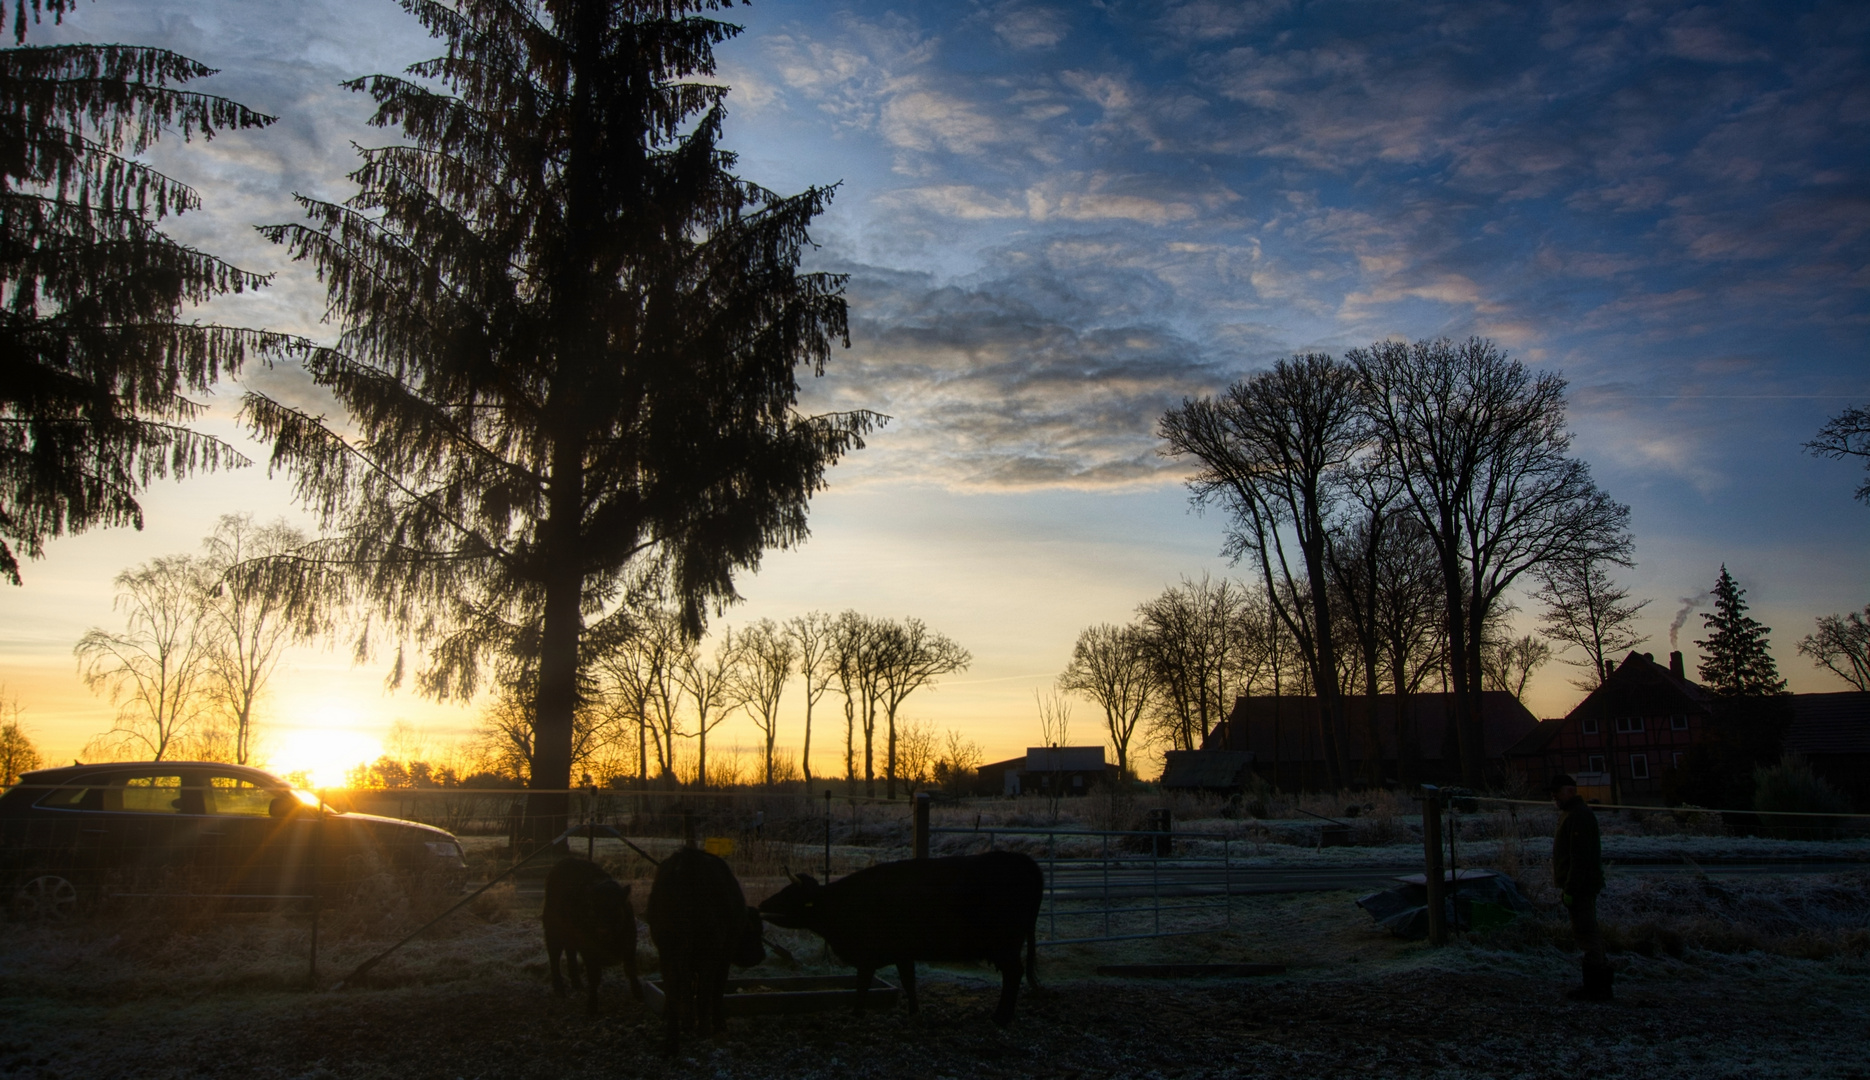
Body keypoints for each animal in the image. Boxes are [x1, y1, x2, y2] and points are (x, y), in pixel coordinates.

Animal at [542, 852, 643, 1001]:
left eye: (616, 907)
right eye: (593, 908)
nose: (602, 930)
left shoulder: (630, 943)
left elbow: (631, 970)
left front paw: (638, 993)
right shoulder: (588, 950)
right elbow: (594, 977)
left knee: (570, 952)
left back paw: (577, 984)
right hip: (553, 930)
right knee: (554, 957)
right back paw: (560, 989)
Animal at [643, 844, 759, 1046]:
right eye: (755, 932)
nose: (761, 954)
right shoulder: (723, 957)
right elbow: (715, 989)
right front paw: (719, 1024)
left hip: (667, 950)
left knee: (674, 986)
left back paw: (674, 1029)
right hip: (706, 951)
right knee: (705, 988)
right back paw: (702, 1028)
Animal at [759, 848, 1054, 1016]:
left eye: (788, 894)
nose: (761, 904)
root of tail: (1022, 860)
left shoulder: (868, 955)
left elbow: (862, 984)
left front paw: (856, 1013)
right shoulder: (902, 953)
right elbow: (909, 982)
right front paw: (914, 1012)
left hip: (1005, 945)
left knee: (1014, 974)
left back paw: (1002, 1016)